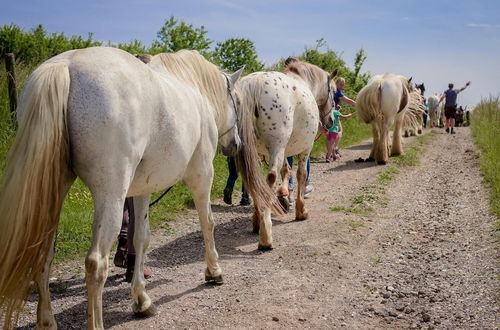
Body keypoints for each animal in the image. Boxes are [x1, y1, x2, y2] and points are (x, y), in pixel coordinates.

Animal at [236, 56, 338, 249]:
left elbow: (286, 170)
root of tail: (255, 84)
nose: (330, 121)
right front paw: (301, 210)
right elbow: (301, 174)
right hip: (277, 145)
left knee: (253, 181)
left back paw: (257, 220)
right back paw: (265, 236)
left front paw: (283, 196)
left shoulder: (279, 151)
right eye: (334, 92)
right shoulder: (305, 148)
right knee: (270, 178)